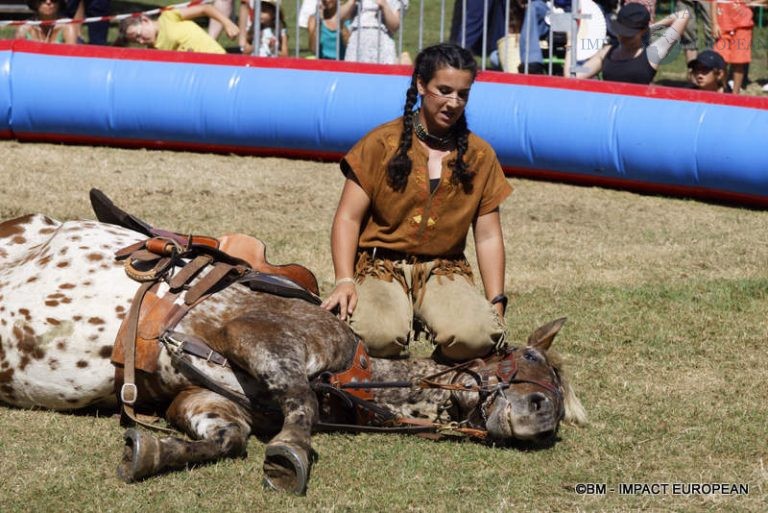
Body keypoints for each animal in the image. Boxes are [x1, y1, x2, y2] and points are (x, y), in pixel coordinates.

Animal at [0, 206, 588, 494]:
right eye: (528, 360)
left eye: (557, 412)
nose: (541, 415)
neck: (353, 373)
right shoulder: (256, 334)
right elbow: (300, 400)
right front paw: (292, 453)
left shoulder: (201, 398)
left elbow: (228, 437)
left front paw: (151, 452)